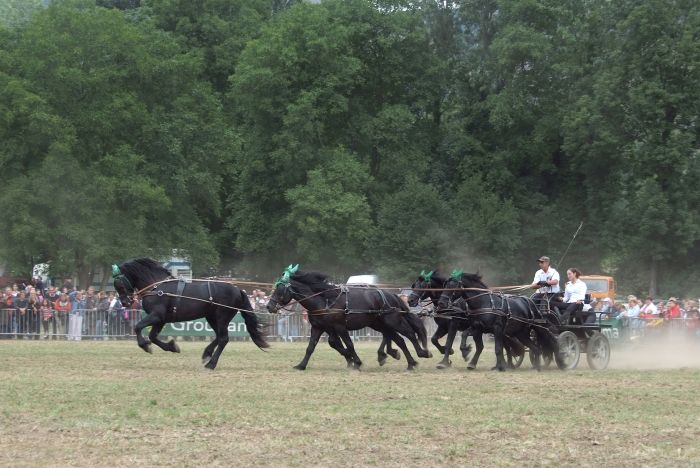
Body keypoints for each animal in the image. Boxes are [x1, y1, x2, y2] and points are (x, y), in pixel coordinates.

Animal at [113, 256, 270, 370]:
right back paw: (207, 353)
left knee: (223, 338)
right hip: (211, 317)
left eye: (118, 283)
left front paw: (145, 345)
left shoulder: (156, 315)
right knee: (219, 337)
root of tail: (239, 290)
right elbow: (153, 336)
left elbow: (138, 327)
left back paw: (211, 364)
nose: (125, 302)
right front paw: (172, 347)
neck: (156, 286)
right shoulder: (161, 319)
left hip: (221, 317)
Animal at [268, 268, 432, 372]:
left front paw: (356, 362)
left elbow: (349, 344)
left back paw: (421, 354)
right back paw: (406, 361)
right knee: (397, 339)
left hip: (392, 320)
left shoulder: (339, 327)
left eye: (279, 289)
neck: (324, 300)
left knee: (409, 334)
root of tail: (391, 295)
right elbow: (312, 347)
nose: (269, 306)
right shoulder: (318, 327)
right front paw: (301, 365)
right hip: (378, 323)